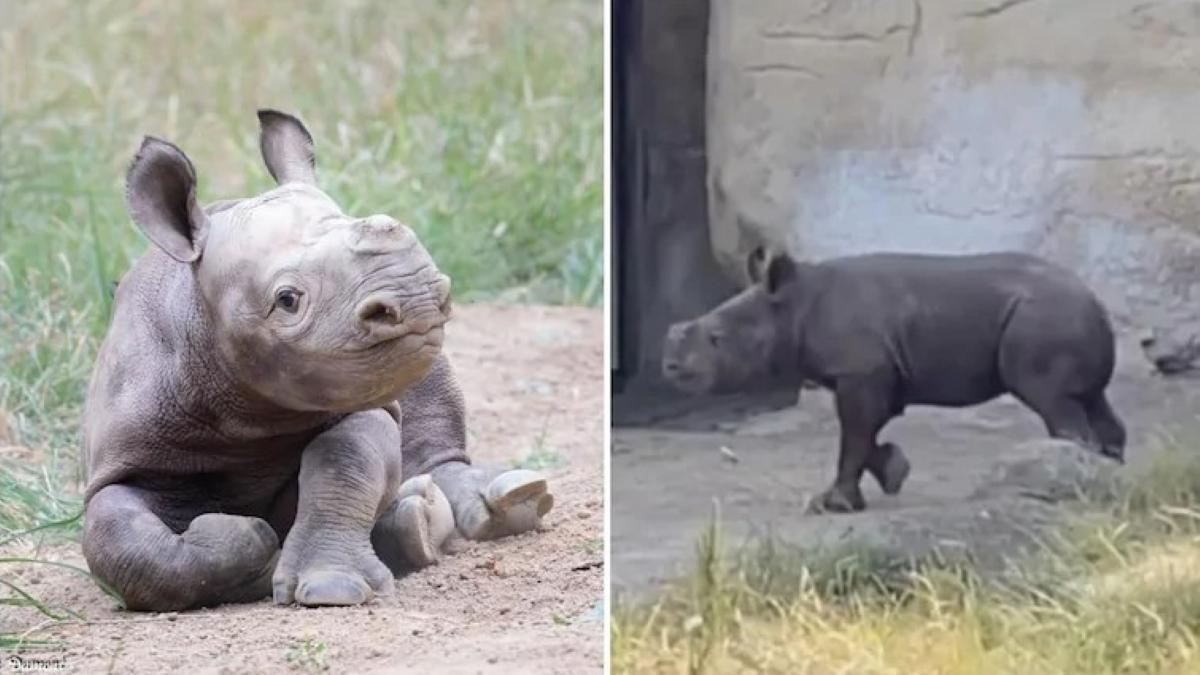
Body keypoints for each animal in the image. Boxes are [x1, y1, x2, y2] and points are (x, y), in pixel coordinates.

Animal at [82, 110, 553, 611]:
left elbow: (344, 466)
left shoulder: (360, 399)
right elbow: (122, 540)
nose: (420, 297)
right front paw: (247, 543)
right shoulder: (126, 457)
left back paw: (483, 507)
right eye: (287, 300)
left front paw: (332, 587)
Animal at [662, 248, 1126, 513]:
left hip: (1042, 319)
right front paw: (894, 472)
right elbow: (864, 433)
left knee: (1050, 399)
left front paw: (833, 506)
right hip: (1061, 317)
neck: (792, 304)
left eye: (717, 339)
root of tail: (1096, 301)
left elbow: (854, 434)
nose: (669, 367)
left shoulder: (861, 370)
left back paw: (1070, 484)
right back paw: (1109, 474)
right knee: (1092, 399)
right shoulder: (874, 372)